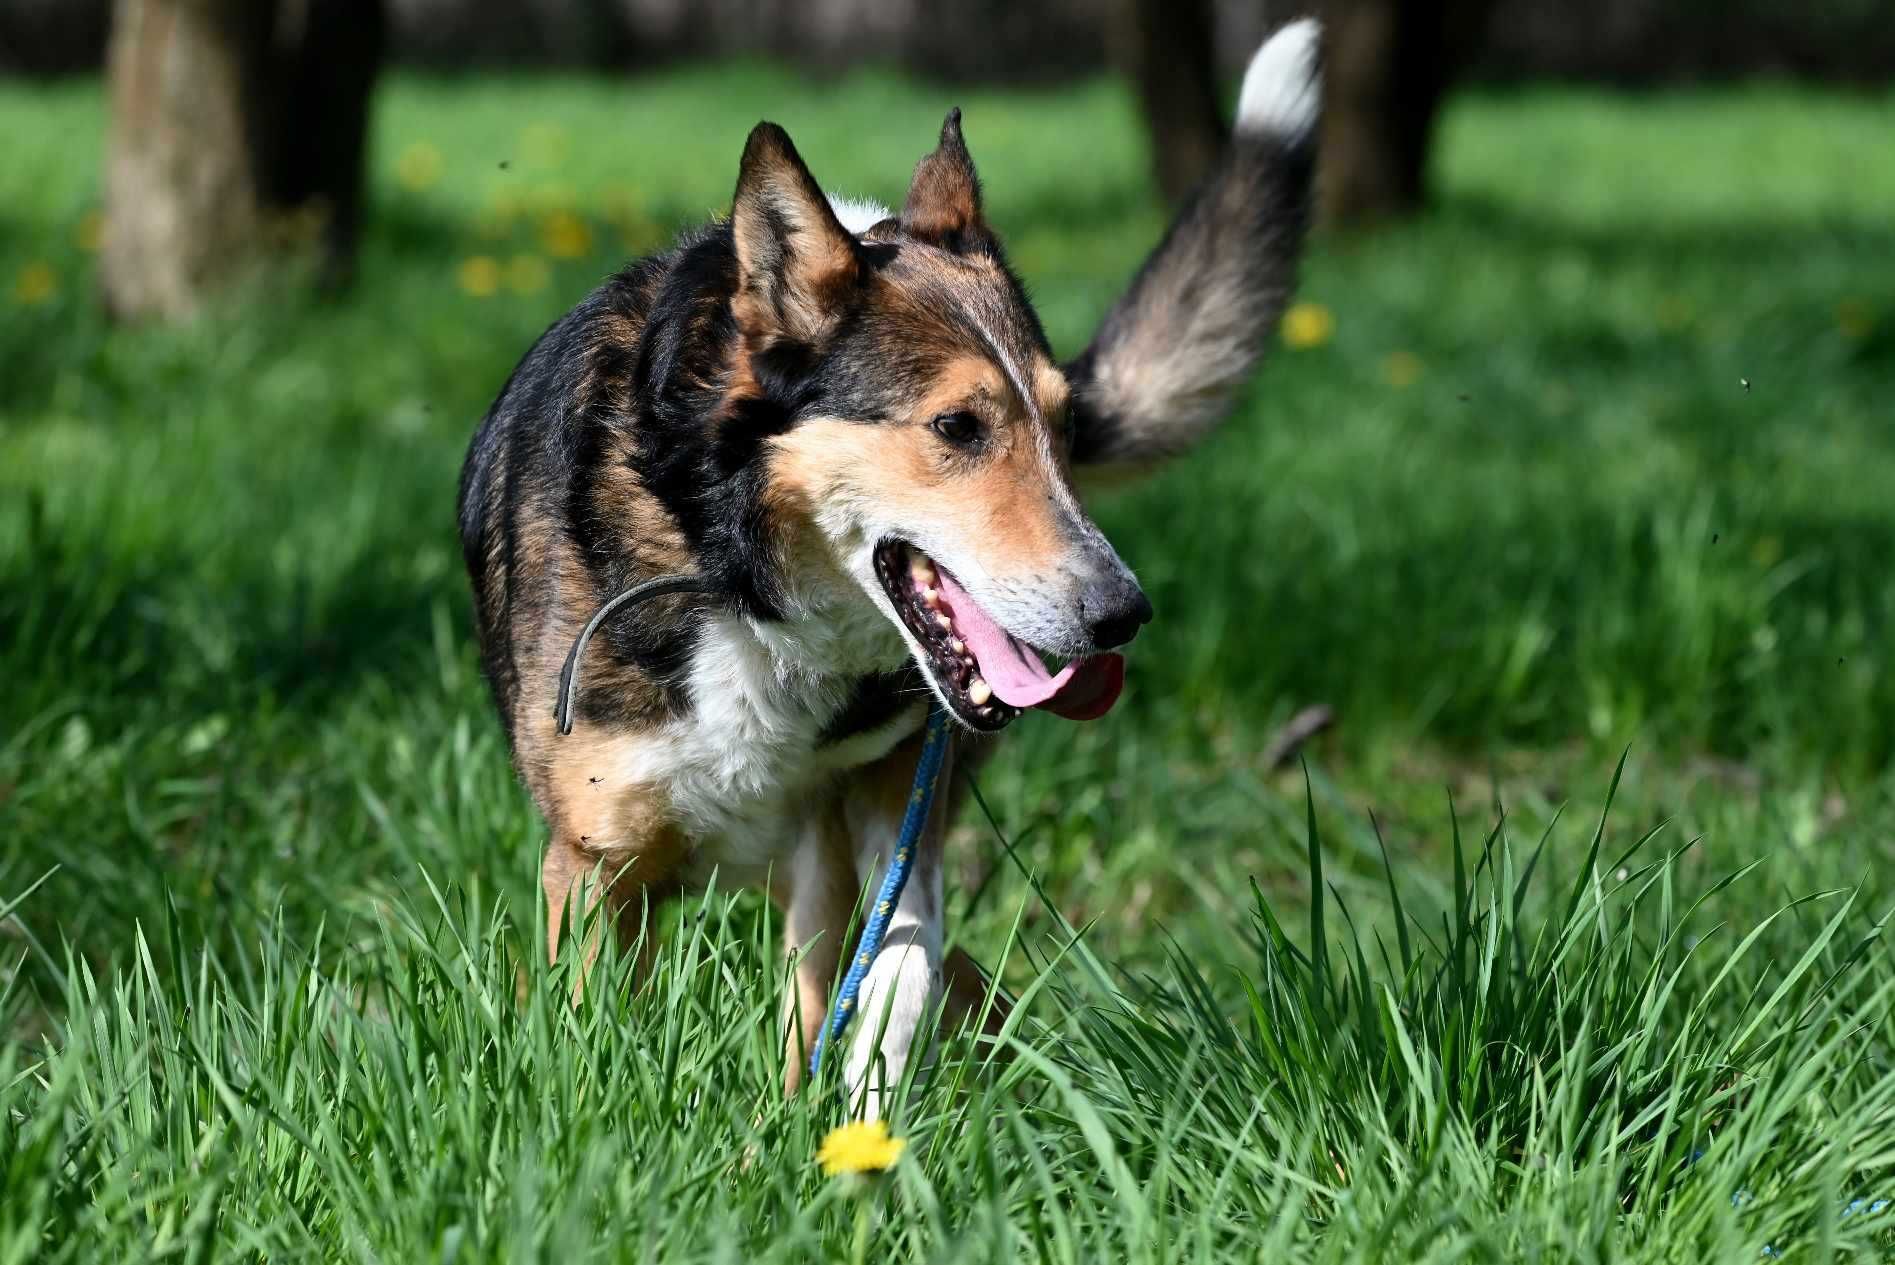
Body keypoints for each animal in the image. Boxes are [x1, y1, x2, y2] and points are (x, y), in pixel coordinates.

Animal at [456, 14, 1318, 1113]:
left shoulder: (880, 796)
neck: (741, 573)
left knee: (932, 976)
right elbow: (588, 1037)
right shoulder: (596, 861)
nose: (1120, 614)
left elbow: (896, 965)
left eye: (1064, 421)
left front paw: (867, 1102)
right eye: (955, 427)